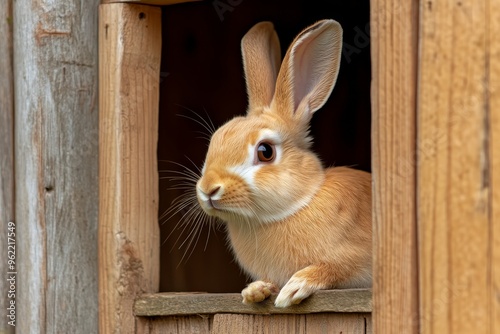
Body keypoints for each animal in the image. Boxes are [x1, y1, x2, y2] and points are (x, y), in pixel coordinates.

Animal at [195, 19, 372, 308]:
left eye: (265, 151)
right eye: (215, 140)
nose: (209, 189)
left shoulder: (356, 257)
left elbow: (333, 267)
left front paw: (295, 287)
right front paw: (255, 291)